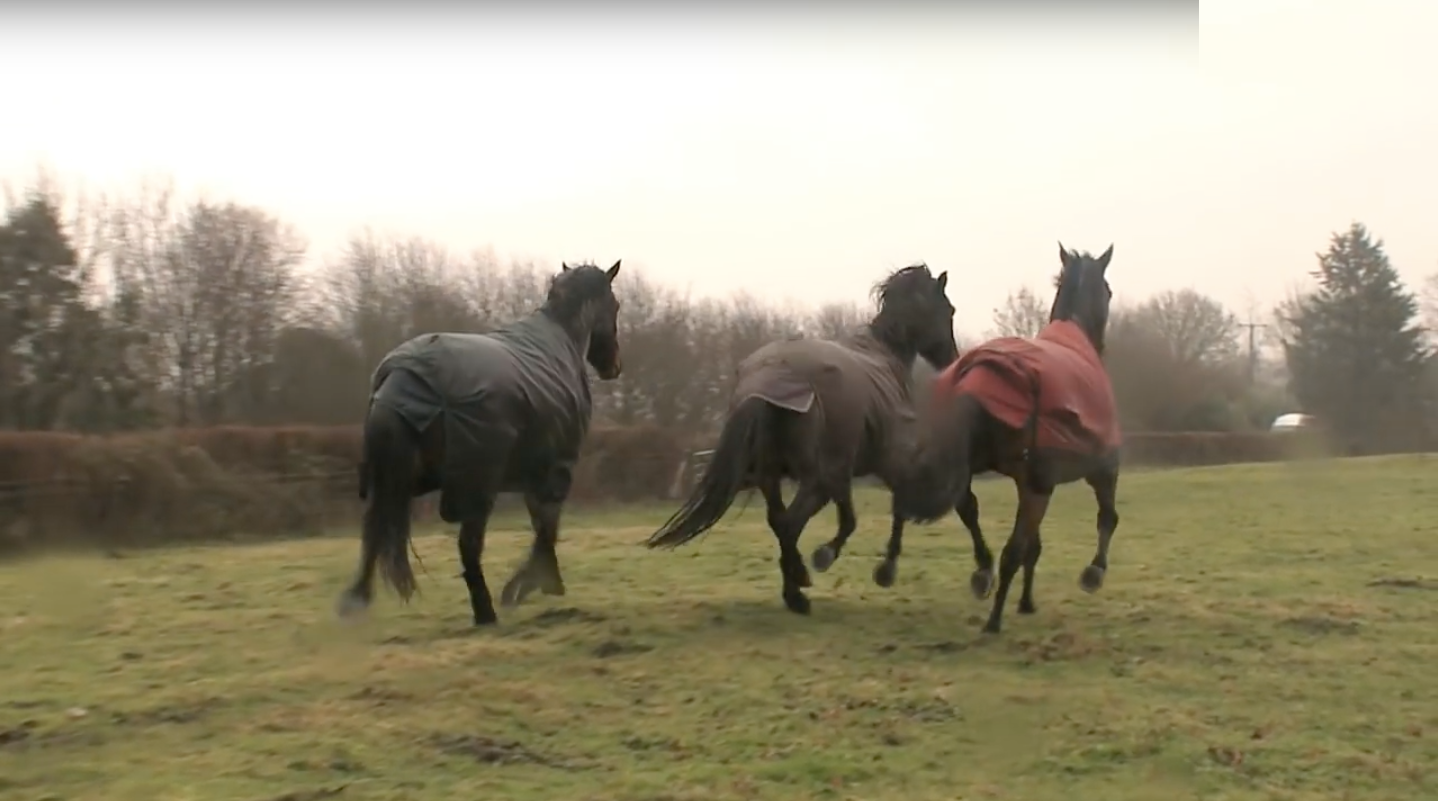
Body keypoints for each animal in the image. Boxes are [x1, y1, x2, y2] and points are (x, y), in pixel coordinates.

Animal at [342, 260, 629, 624]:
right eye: (615, 306)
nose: (614, 367)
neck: (561, 338)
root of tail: (404, 379)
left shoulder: (533, 473)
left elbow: (541, 524)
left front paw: (543, 582)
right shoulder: (557, 466)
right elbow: (547, 526)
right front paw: (528, 585)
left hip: (390, 481)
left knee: (373, 532)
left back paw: (355, 603)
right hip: (475, 486)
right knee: (468, 545)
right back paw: (486, 613)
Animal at [644, 266, 966, 615]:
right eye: (949, 310)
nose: (951, 359)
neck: (886, 355)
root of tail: (761, 383)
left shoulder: (842, 473)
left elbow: (850, 519)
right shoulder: (884, 461)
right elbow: (885, 511)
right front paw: (876, 569)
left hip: (772, 476)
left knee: (780, 521)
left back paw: (795, 588)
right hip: (812, 480)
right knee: (789, 523)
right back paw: (799, 586)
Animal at [891, 240, 1115, 632]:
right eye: (1108, 291)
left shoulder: (1030, 482)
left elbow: (1032, 545)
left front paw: (1026, 602)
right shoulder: (1096, 469)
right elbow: (1107, 518)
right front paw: (1093, 573)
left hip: (967, 462)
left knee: (957, 505)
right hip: (1035, 484)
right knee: (1012, 547)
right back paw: (992, 618)